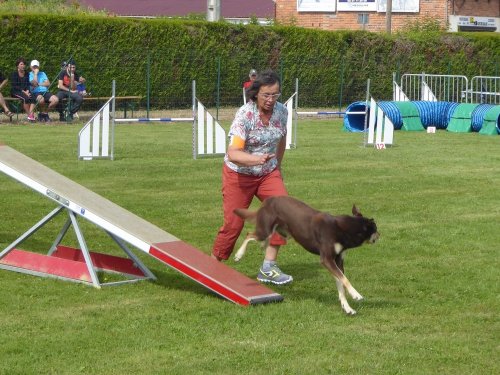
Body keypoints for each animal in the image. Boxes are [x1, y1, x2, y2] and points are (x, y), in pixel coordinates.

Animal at [234, 195, 378, 316]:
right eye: (376, 229)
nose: (380, 235)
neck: (344, 228)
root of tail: (269, 200)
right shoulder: (326, 260)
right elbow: (345, 280)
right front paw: (356, 295)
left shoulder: (338, 261)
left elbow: (341, 283)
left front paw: (347, 307)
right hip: (264, 230)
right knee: (249, 235)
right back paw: (239, 254)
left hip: (279, 232)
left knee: (264, 240)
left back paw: (262, 247)